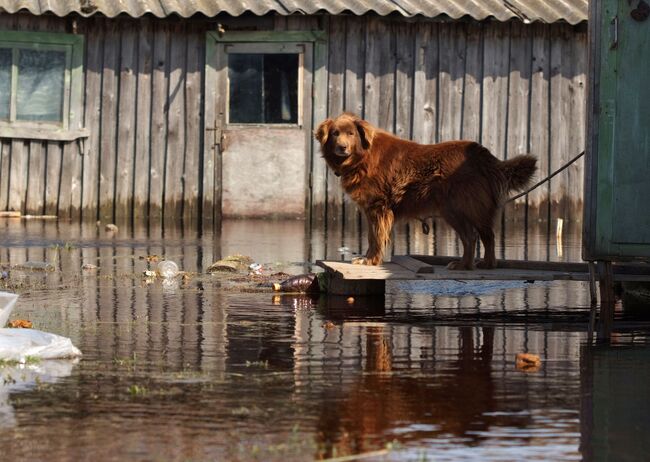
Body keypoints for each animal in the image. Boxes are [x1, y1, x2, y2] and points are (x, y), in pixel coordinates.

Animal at [316, 113, 536, 270]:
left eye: (351, 134)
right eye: (335, 133)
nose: (342, 147)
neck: (362, 157)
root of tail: (481, 154)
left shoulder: (378, 207)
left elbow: (376, 237)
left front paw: (370, 260)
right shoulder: (372, 209)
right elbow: (372, 236)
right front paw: (369, 258)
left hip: (459, 207)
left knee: (477, 236)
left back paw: (472, 265)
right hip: (463, 208)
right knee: (480, 236)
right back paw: (477, 265)